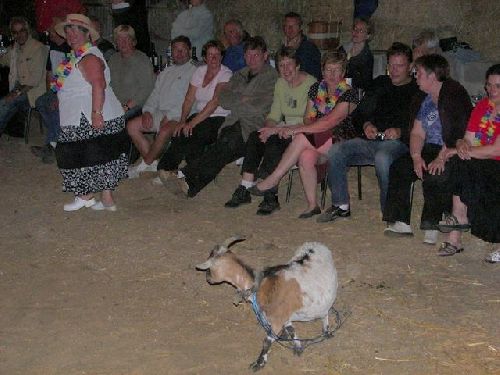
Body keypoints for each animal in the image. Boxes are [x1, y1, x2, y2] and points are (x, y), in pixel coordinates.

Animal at [196, 236, 340, 372]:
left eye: (210, 267)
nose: (207, 278)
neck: (262, 287)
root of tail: (316, 244)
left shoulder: (277, 320)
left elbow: (267, 342)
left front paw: (258, 363)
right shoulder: (284, 317)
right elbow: (291, 330)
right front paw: (298, 347)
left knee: (325, 316)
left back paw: (326, 333)